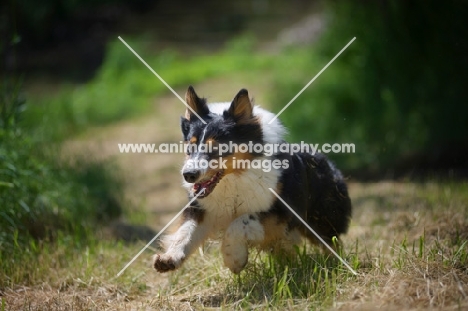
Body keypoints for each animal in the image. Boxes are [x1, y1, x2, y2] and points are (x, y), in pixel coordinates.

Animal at [154, 86, 352, 274]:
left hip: (322, 219)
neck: (235, 178)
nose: (188, 175)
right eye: (190, 145)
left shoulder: (279, 212)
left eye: (217, 147)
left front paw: (234, 259)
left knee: (332, 243)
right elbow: (185, 231)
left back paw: (337, 264)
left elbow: (239, 223)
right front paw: (170, 258)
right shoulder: (202, 208)